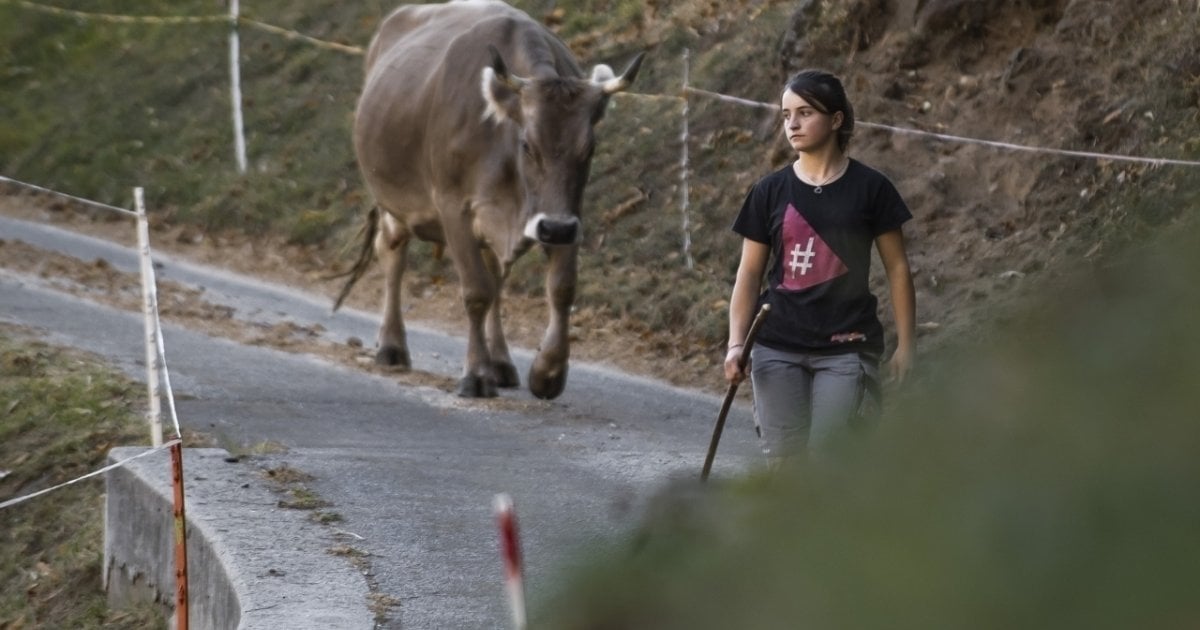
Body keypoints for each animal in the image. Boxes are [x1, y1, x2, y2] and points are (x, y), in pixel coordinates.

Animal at [333, 1, 643, 398]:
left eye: (589, 148)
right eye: (527, 144)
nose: (555, 230)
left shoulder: (566, 213)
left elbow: (561, 287)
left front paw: (548, 371)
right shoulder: (454, 207)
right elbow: (477, 291)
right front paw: (477, 375)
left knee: (496, 274)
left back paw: (501, 363)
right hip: (393, 201)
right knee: (391, 254)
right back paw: (391, 346)